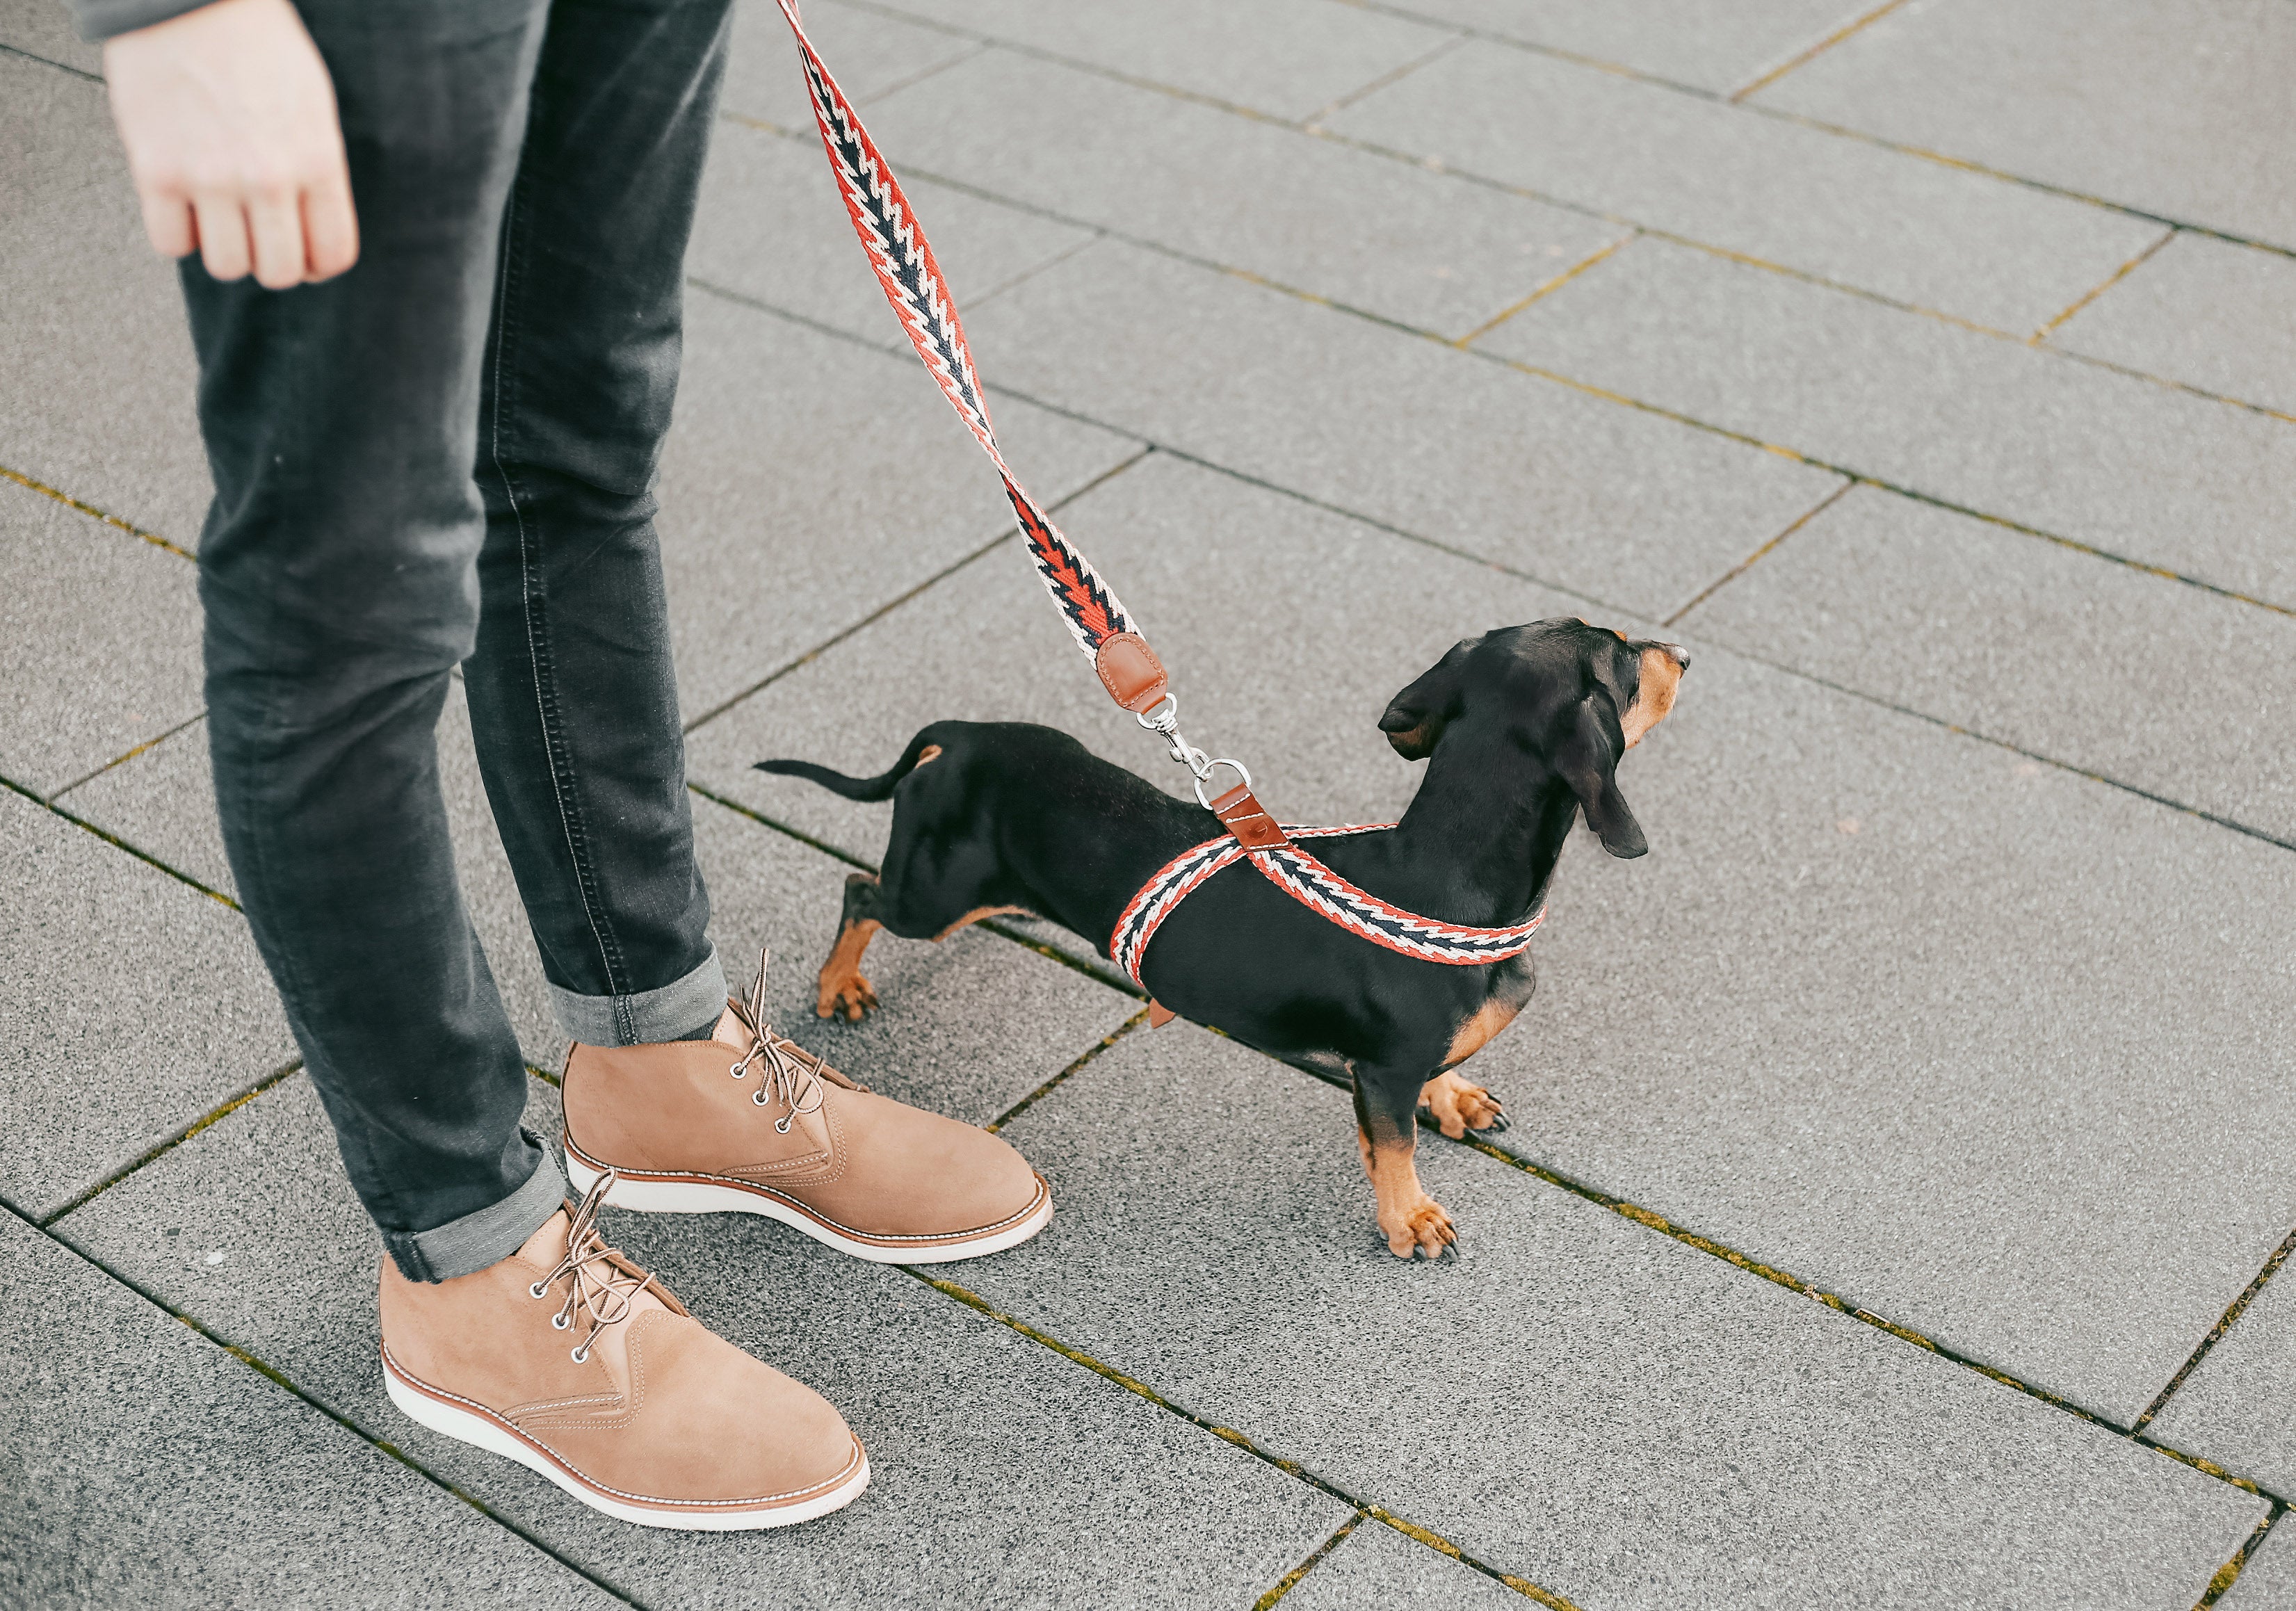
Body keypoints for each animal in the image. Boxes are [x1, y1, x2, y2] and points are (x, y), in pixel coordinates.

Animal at [762, 620, 1681, 1266]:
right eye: (1622, 657)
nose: (1682, 650)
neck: (1441, 872)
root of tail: (960, 733)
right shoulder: (1380, 1071)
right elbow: (1392, 1149)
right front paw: (1409, 1219)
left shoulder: (1408, 1055)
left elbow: (1440, 1073)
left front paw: (1454, 1097)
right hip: (931, 896)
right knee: (859, 892)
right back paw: (838, 986)